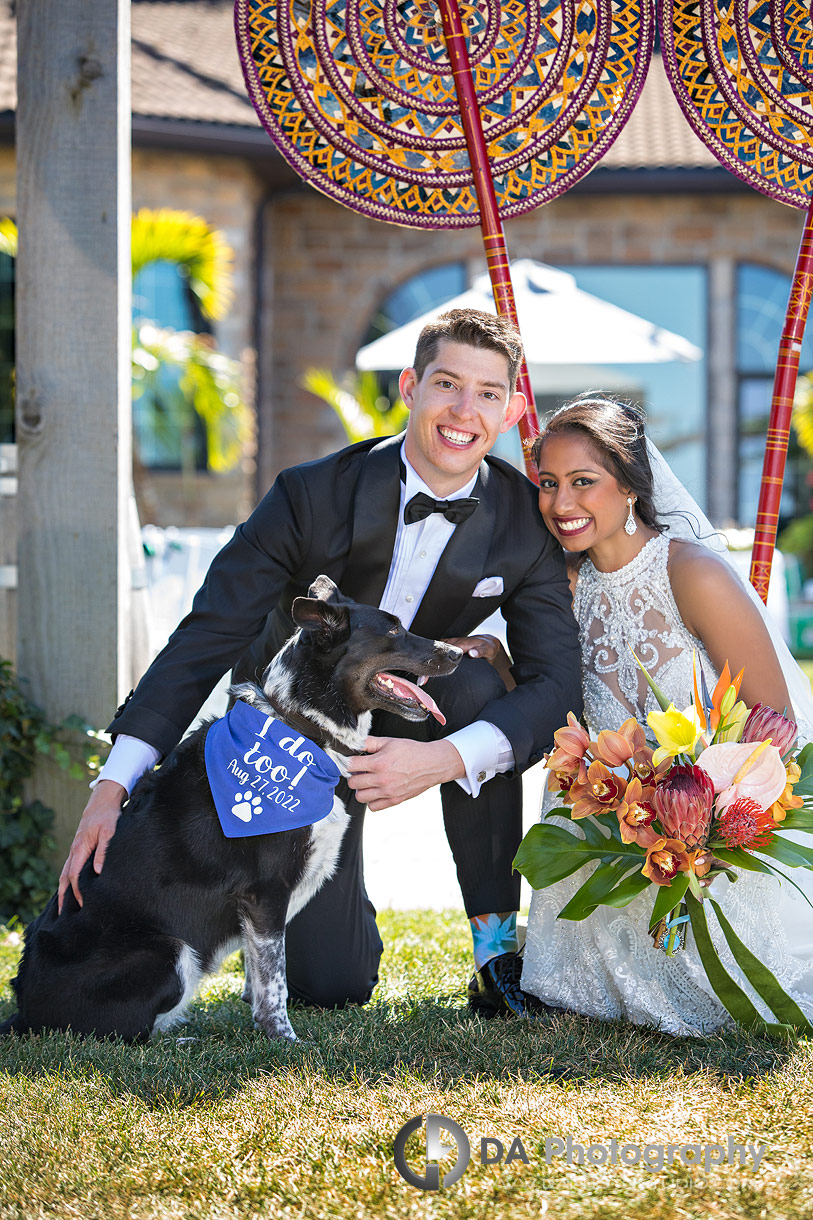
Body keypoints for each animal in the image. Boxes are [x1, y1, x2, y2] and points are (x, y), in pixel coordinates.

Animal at [0, 575, 458, 1044]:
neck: (298, 727)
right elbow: (275, 981)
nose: (458, 652)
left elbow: (260, 972)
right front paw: (283, 1041)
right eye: (393, 630)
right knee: (120, 1035)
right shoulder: (267, 893)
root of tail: (23, 1012)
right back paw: (182, 1039)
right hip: (168, 950)